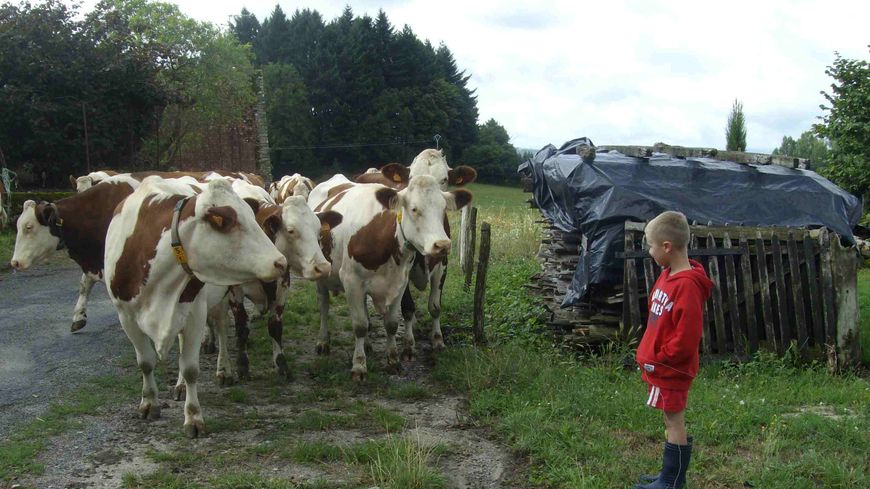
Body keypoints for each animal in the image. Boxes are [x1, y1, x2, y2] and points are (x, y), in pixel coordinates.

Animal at [104, 177, 284, 436]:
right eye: (228, 222)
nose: (280, 262)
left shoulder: (195, 313)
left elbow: (190, 368)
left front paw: (193, 417)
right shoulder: (126, 316)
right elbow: (146, 362)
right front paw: (149, 403)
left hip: (222, 297)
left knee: (221, 329)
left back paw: (224, 370)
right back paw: (179, 385)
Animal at [306, 173, 470, 380]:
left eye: (443, 209)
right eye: (414, 209)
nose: (442, 245)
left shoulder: (400, 282)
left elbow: (392, 323)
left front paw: (393, 360)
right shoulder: (351, 281)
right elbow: (359, 325)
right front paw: (359, 366)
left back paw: (368, 345)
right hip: (321, 273)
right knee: (324, 307)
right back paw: (323, 342)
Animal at [352, 148, 480, 350]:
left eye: (444, 179)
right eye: (410, 178)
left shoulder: (442, 264)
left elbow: (435, 307)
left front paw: (437, 339)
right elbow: (408, 308)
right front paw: (408, 343)